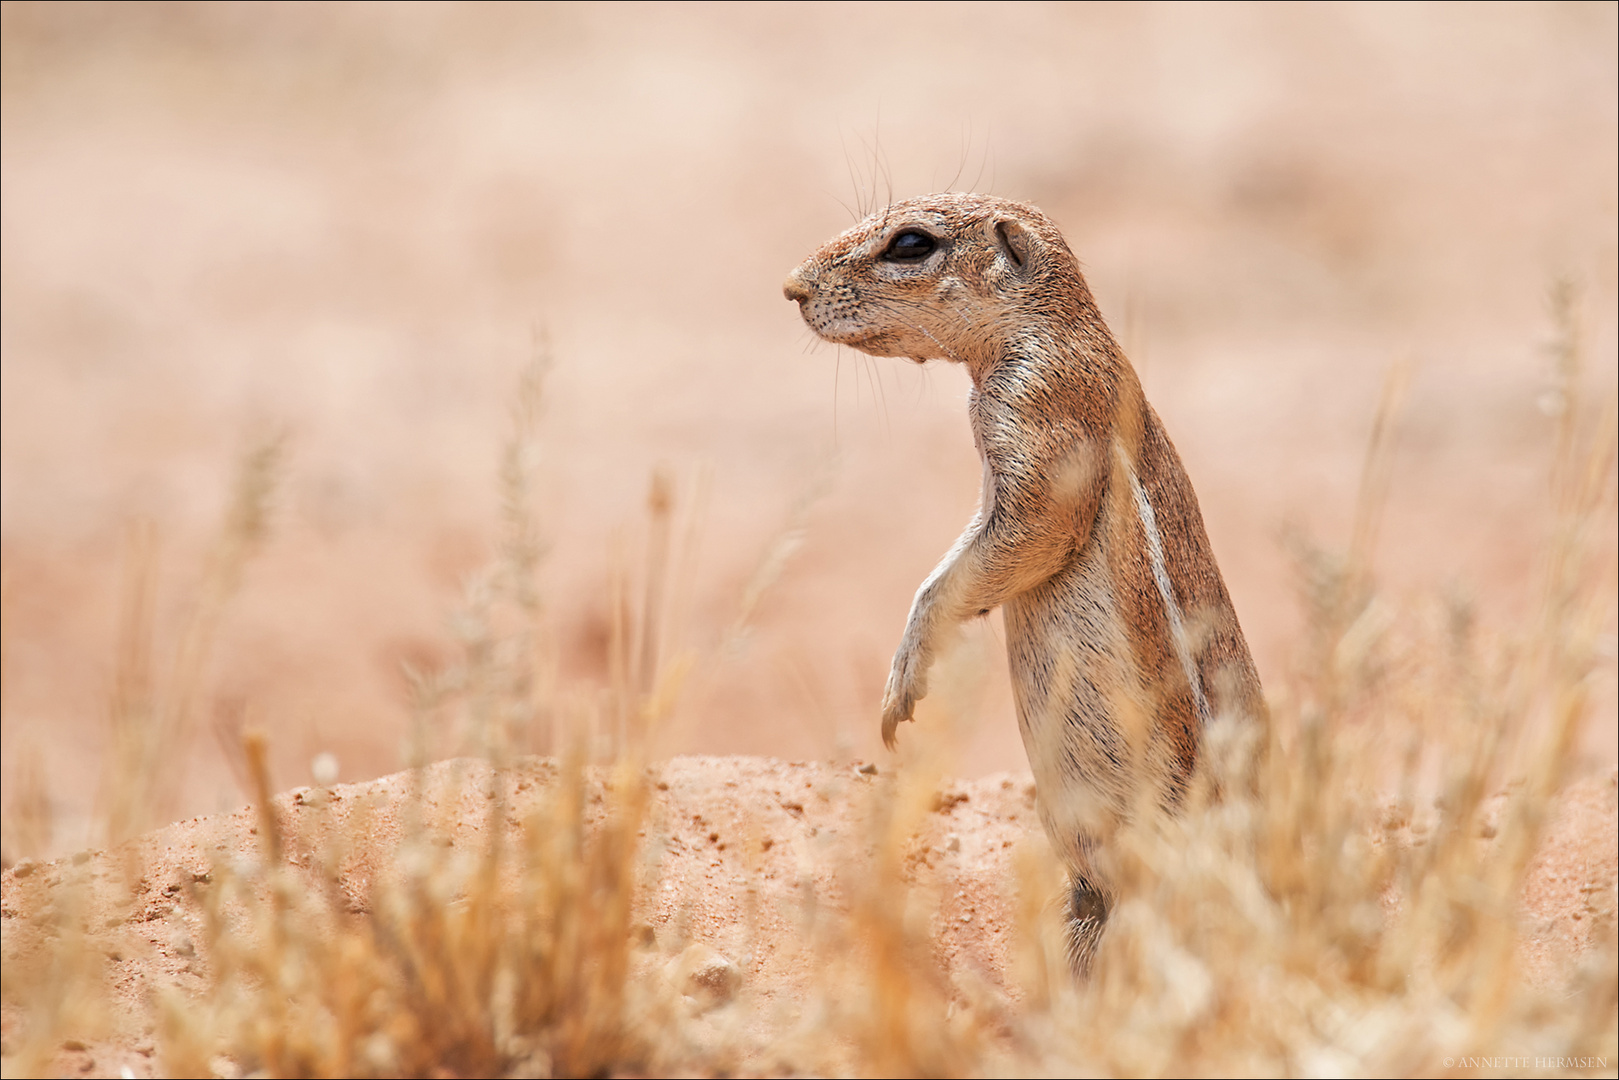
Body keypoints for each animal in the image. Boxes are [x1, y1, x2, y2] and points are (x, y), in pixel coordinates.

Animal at [790, 190, 1269, 965]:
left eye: (910, 243)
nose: (792, 287)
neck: (1054, 324)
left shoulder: (1040, 416)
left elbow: (1008, 549)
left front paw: (907, 680)